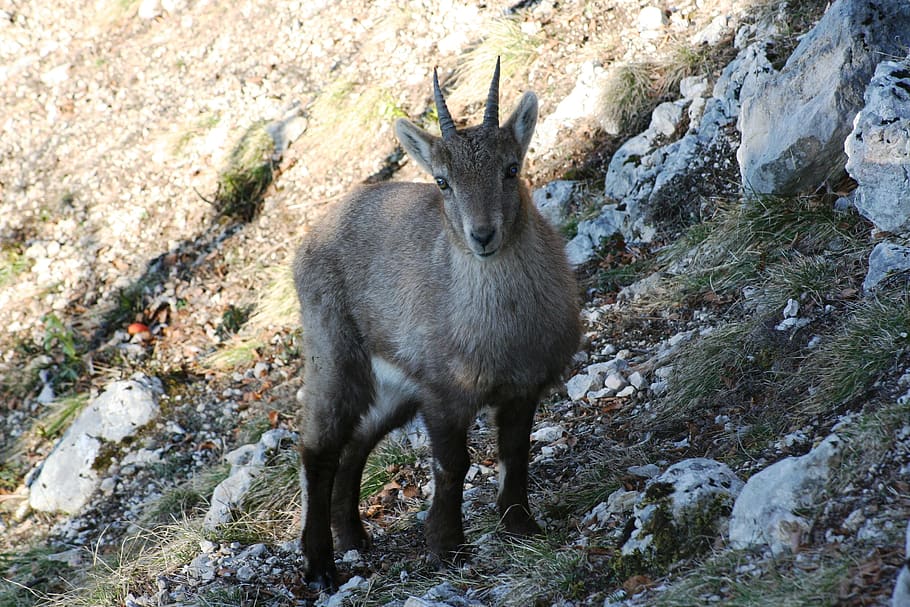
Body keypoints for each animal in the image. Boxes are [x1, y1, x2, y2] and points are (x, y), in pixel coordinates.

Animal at [293, 59, 581, 589]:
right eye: (443, 181)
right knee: (319, 449)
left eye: (511, 168)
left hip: (395, 388)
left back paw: (353, 537)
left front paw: (520, 525)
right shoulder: (444, 395)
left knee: (358, 441)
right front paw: (445, 546)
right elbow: (453, 464)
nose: (483, 235)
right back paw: (320, 564)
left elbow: (515, 451)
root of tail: (311, 234)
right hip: (334, 355)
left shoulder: (521, 387)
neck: (502, 328)